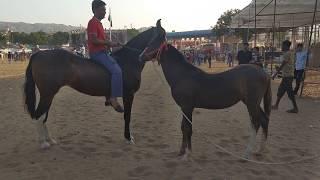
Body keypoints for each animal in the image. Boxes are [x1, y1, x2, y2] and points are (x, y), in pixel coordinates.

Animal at [23, 19, 166, 149]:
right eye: (161, 37)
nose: (142, 57)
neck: (128, 60)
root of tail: (38, 54)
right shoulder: (129, 95)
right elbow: (127, 116)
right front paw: (128, 138)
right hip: (47, 94)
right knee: (39, 116)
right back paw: (43, 143)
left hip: (49, 94)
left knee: (43, 116)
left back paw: (50, 140)